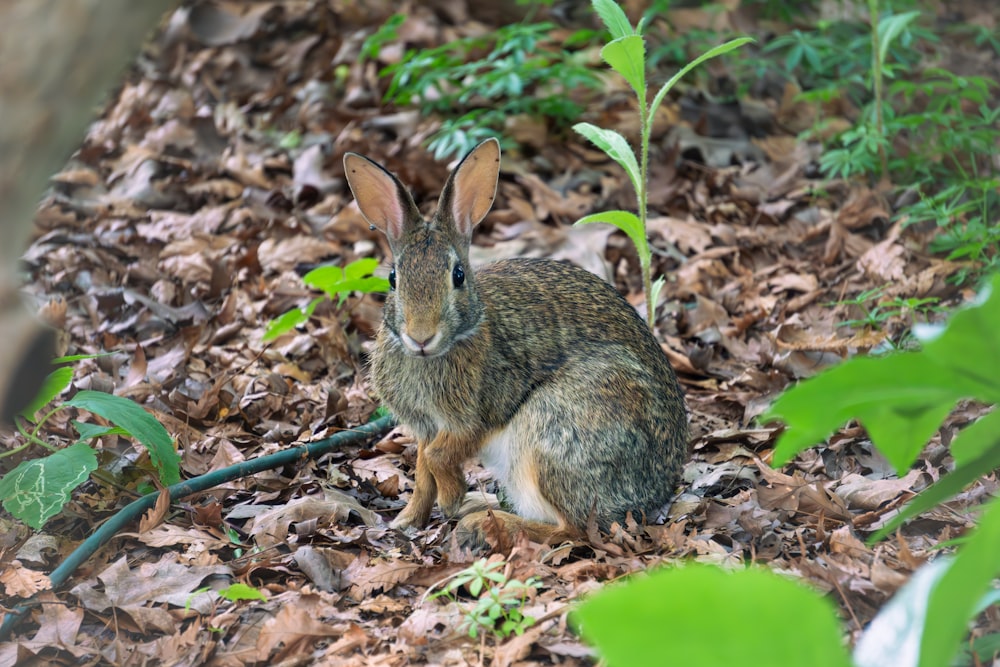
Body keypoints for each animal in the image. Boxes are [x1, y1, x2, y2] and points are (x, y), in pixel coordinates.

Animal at [344, 137, 688, 548]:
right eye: (393, 279)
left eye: (458, 275)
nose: (421, 335)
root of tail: (653, 497)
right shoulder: (426, 427)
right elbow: (424, 467)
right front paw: (408, 520)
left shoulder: (477, 414)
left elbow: (440, 456)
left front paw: (451, 497)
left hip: (552, 434)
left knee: (574, 529)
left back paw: (482, 523)